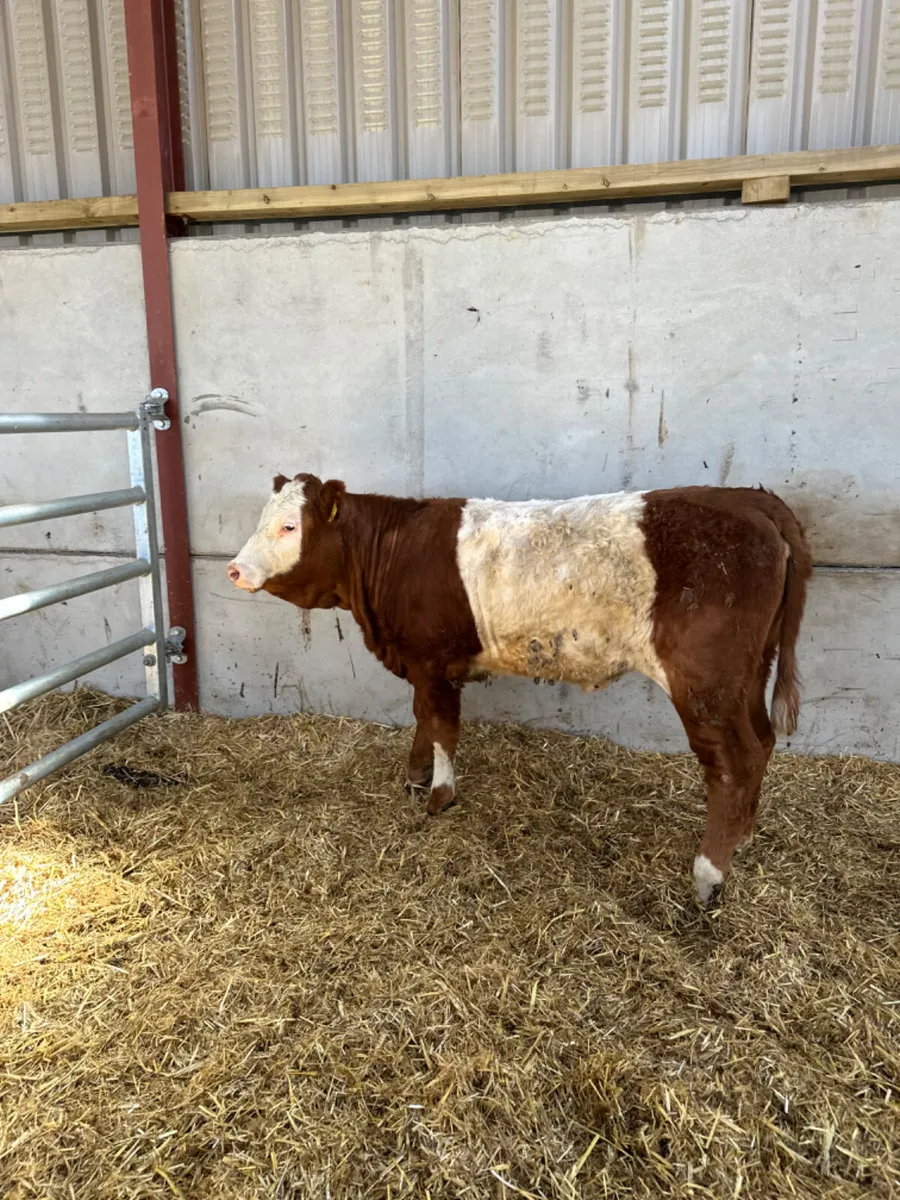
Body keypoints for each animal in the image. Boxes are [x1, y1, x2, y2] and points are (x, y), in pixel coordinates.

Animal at [228, 476, 812, 906]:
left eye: (288, 526)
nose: (233, 568)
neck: (393, 552)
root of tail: (748, 498)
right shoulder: (423, 664)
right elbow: (422, 719)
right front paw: (415, 777)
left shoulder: (432, 661)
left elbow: (440, 725)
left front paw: (439, 795)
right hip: (748, 674)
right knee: (761, 745)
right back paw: (742, 839)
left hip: (707, 683)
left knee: (733, 762)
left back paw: (709, 875)